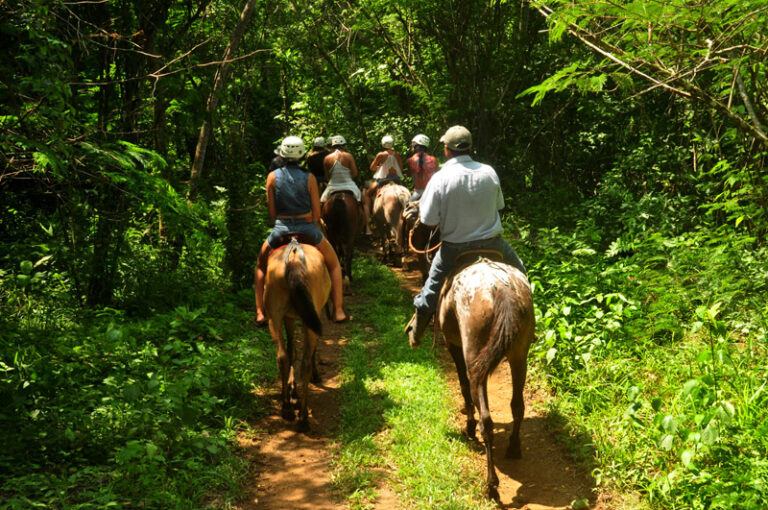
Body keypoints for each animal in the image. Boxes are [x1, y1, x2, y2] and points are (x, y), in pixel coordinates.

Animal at [264, 237, 330, 432]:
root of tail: (293, 256)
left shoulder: (289, 317)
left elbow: (291, 349)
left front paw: (292, 392)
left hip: (274, 317)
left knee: (282, 356)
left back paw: (286, 407)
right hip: (309, 317)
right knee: (305, 362)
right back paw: (303, 418)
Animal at [432, 253, 536, 500]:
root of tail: (503, 290)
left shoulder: (454, 345)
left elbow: (462, 386)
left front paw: (468, 426)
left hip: (475, 357)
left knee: (486, 420)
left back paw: (491, 484)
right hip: (520, 356)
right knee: (518, 406)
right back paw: (514, 448)